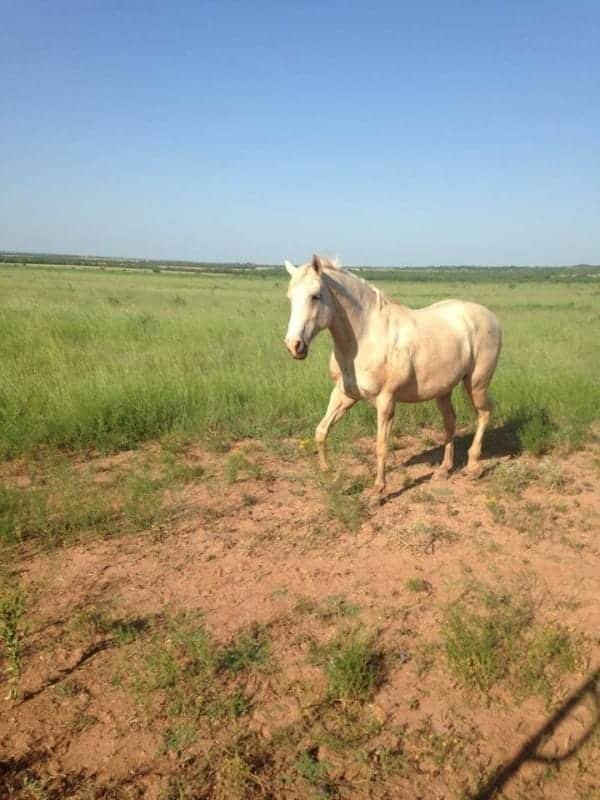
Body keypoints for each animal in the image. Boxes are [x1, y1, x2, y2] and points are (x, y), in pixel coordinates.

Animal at [284, 255, 500, 500]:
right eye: (290, 297)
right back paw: (443, 470)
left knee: (484, 414)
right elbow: (321, 431)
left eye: (315, 296)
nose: (294, 346)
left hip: (476, 385)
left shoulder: (385, 400)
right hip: (443, 390)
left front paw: (378, 491)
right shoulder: (344, 395)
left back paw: (473, 467)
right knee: (450, 421)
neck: (365, 336)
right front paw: (329, 474)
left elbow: (381, 445)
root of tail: (490, 316)